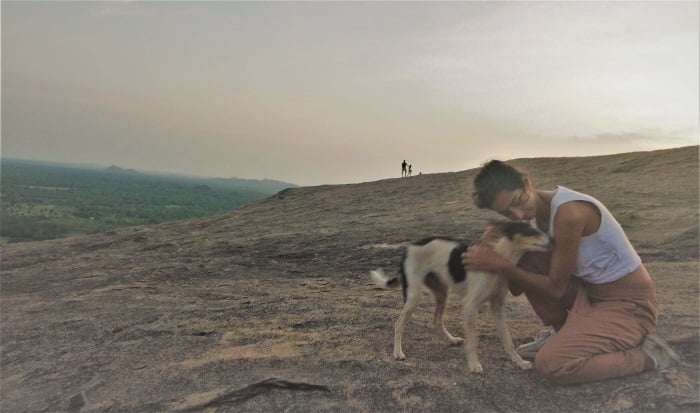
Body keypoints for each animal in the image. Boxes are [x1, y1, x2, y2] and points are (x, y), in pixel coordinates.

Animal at [370, 220, 556, 372]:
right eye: (531, 231)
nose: (554, 240)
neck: (497, 260)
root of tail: (409, 247)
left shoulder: (497, 307)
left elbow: (508, 340)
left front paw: (519, 362)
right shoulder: (470, 306)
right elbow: (472, 341)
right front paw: (474, 365)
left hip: (442, 293)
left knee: (436, 320)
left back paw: (451, 340)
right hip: (414, 296)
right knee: (398, 324)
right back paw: (397, 352)